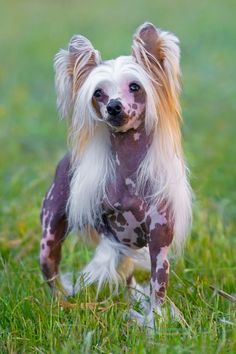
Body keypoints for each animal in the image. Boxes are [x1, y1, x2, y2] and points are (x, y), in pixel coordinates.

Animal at [39, 21, 192, 326]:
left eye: (135, 86)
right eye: (98, 93)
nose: (113, 106)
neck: (128, 169)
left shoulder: (159, 239)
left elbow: (158, 285)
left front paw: (155, 321)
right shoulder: (111, 233)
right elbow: (114, 258)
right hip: (49, 235)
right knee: (51, 273)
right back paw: (61, 304)